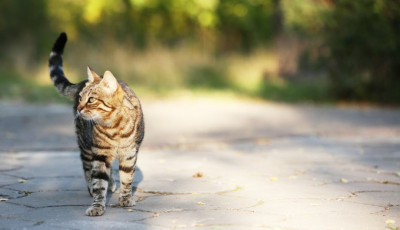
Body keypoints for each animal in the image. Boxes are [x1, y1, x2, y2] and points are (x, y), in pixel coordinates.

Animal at [48, 32, 145, 216]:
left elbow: (127, 178)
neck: (114, 127)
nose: (79, 108)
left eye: (91, 100)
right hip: (86, 146)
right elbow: (99, 181)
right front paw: (97, 205)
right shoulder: (99, 153)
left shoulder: (129, 153)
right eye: (80, 98)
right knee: (88, 169)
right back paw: (93, 188)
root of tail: (80, 81)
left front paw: (126, 198)